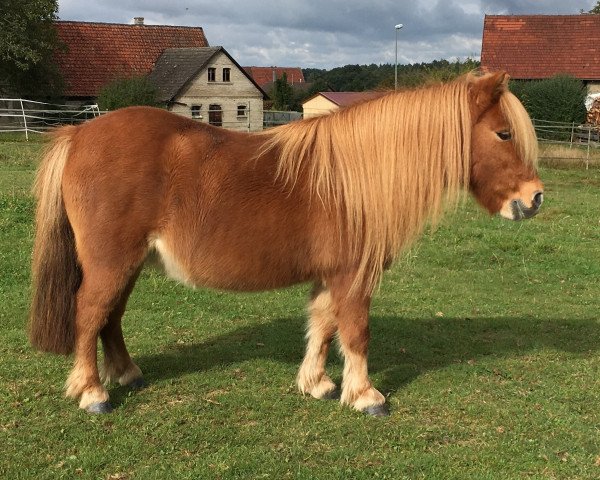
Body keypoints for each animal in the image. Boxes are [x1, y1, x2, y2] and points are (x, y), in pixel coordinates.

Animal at [29, 69, 544, 414]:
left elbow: (323, 326)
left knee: (110, 317)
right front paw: (366, 396)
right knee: (90, 313)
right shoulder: (352, 276)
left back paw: (128, 375)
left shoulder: (329, 276)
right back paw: (93, 393)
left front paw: (317, 384)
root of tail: (79, 134)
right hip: (111, 262)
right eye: (503, 133)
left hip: (128, 263)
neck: (354, 180)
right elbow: (355, 331)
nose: (535, 199)